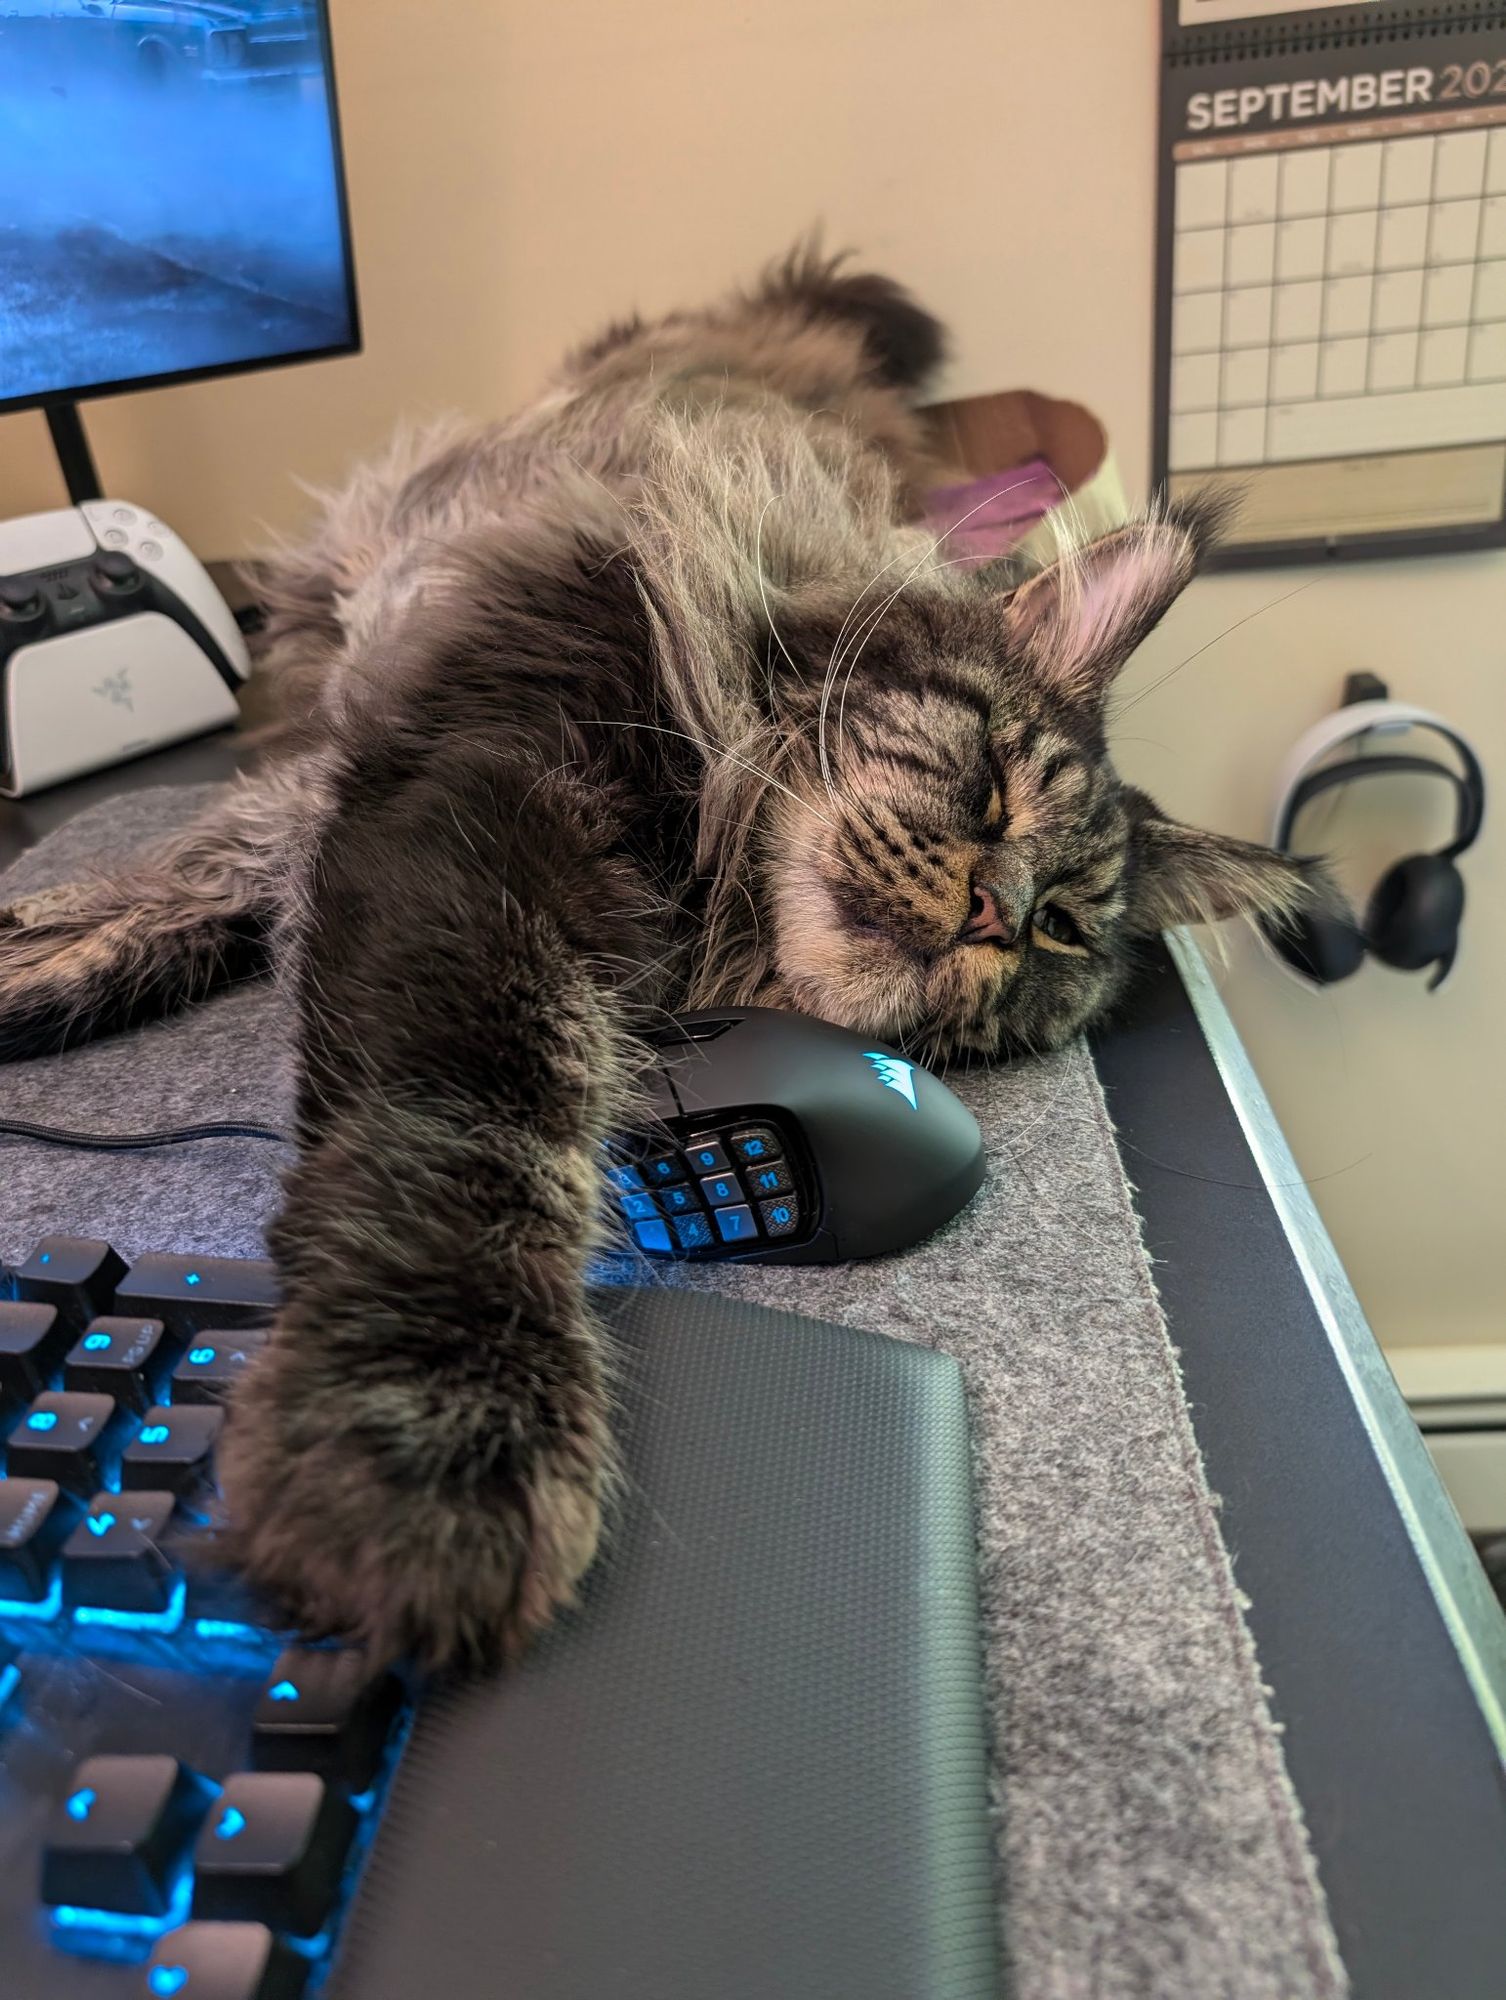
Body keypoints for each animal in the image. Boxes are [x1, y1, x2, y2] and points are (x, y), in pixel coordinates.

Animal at [0, 250, 1328, 1664]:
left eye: (1062, 927)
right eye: (991, 788)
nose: (995, 907)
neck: (707, 887)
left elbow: (234, 900)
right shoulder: (481, 782)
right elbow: (464, 1126)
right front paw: (429, 1424)